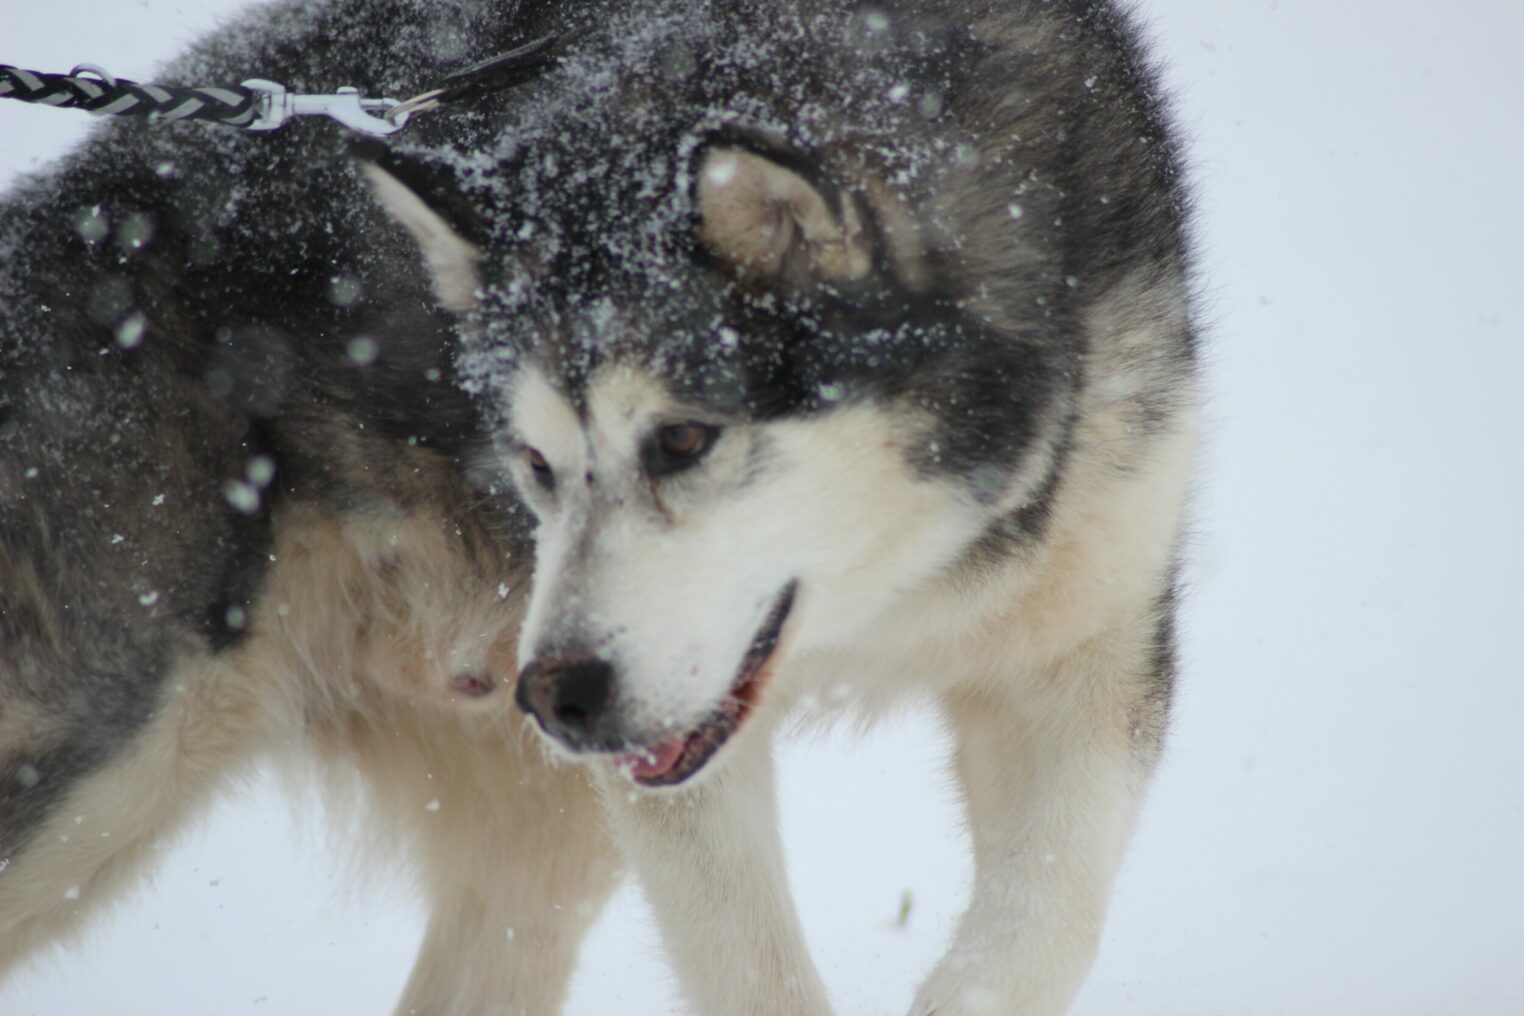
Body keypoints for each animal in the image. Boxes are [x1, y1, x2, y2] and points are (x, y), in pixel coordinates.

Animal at [362, 1, 1194, 1016]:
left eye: (681, 440)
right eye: (536, 463)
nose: (559, 698)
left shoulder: (1088, 638)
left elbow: (1047, 920)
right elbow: (749, 966)